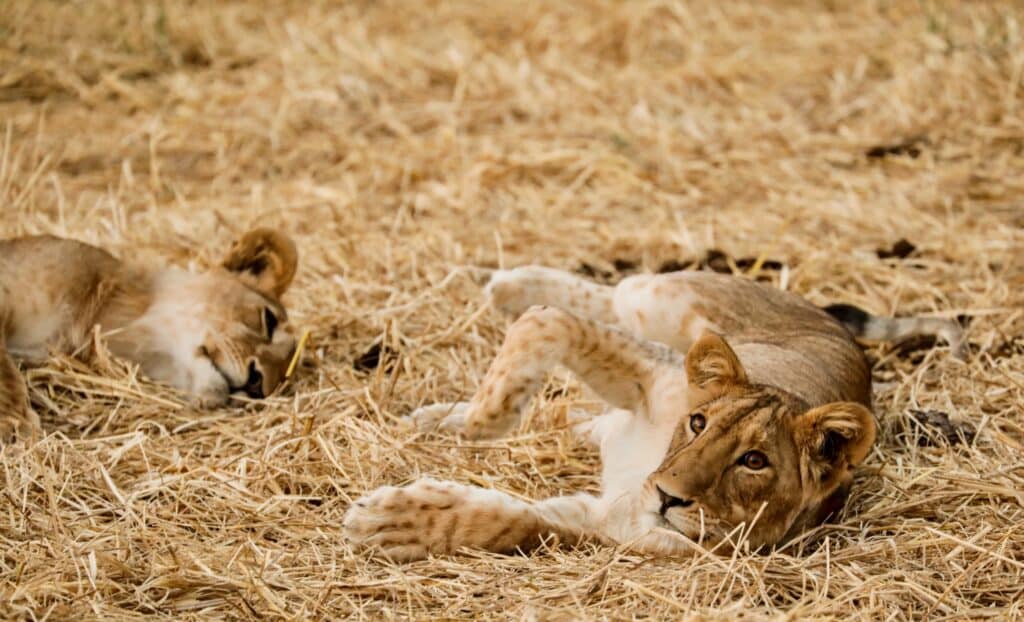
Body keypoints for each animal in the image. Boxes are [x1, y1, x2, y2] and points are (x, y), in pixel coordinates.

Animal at [344, 265, 964, 560]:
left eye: (754, 461)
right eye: (697, 423)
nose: (667, 496)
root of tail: (828, 318)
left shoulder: (607, 525)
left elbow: (512, 524)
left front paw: (390, 523)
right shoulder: (651, 376)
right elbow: (547, 323)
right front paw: (486, 419)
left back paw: (435, 416)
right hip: (664, 304)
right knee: (613, 291)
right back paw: (509, 288)